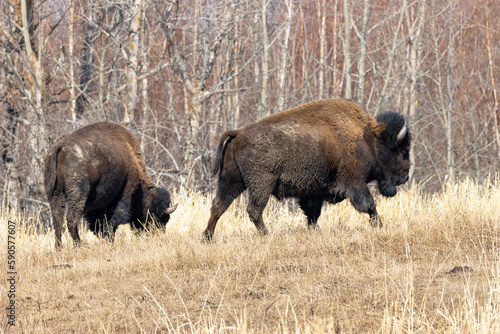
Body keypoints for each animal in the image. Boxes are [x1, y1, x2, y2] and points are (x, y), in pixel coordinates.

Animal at [44, 122, 178, 248]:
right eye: (158, 216)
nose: (158, 234)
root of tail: (61, 147)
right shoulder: (123, 195)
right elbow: (112, 222)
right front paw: (109, 240)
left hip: (55, 195)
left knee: (57, 220)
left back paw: (59, 248)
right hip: (77, 196)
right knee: (71, 220)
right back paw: (80, 245)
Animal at [203, 98, 410, 239]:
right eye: (402, 151)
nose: (406, 176)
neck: (369, 139)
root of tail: (238, 133)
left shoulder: (314, 192)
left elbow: (312, 214)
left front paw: (315, 231)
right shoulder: (355, 182)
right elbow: (369, 205)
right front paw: (380, 226)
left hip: (231, 181)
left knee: (218, 205)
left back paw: (207, 237)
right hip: (261, 183)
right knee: (253, 210)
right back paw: (266, 234)